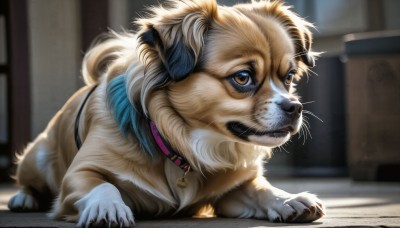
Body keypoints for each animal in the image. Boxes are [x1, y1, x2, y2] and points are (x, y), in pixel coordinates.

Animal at [7, 0, 324, 226]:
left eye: (288, 77)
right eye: (243, 78)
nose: (294, 107)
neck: (182, 143)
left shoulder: (233, 191)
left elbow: (260, 189)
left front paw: (288, 199)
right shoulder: (78, 174)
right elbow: (103, 185)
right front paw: (107, 207)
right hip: (37, 157)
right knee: (28, 181)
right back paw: (23, 199)